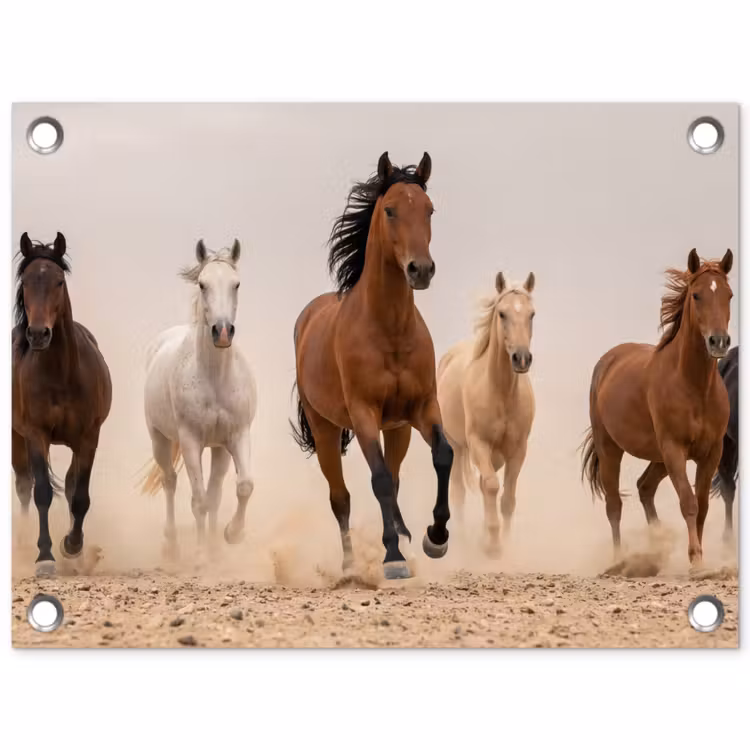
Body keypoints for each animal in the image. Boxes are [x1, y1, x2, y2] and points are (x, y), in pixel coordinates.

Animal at [12, 232, 112, 575]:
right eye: (26, 281)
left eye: (58, 281)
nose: (39, 334)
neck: (59, 372)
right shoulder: (35, 434)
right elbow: (42, 491)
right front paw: (45, 556)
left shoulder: (89, 438)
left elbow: (79, 495)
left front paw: (73, 545)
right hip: (17, 439)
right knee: (24, 485)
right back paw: (24, 542)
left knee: (69, 485)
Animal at [140, 240, 256, 558]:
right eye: (203, 284)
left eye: (236, 284)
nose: (223, 332)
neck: (214, 378)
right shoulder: (191, 441)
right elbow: (199, 501)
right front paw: (202, 555)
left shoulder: (236, 436)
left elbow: (242, 487)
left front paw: (230, 536)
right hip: (160, 439)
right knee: (170, 481)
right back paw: (172, 545)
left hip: (217, 449)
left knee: (214, 492)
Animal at [291, 151, 453, 580]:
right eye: (391, 210)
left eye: (430, 210)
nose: (421, 270)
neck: (390, 331)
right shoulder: (363, 413)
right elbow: (377, 479)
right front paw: (392, 558)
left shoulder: (422, 408)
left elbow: (443, 455)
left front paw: (435, 538)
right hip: (326, 430)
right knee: (341, 497)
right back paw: (351, 565)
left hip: (397, 429)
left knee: (394, 479)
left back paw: (407, 536)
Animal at [437, 271, 536, 556]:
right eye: (502, 313)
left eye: (532, 314)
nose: (521, 359)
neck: (500, 393)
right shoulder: (478, 444)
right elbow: (491, 487)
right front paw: (493, 544)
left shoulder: (517, 450)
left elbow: (508, 498)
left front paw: (504, 541)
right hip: (457, 447)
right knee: (459, 492)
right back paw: (462, 538)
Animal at [581, 249, 733, 567]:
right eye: (697, 295)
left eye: (729, 295)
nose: (719, 342)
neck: (693, 386)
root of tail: (608, 360)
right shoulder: (674, 449)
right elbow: (688, 502)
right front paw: (696, 561)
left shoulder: (711, 453)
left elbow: (701, 506)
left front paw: (700, 560)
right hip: (611, 447)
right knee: (614, 504)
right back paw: (620, 560)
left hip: (658, 457)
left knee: (644, 487)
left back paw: (656, 546)